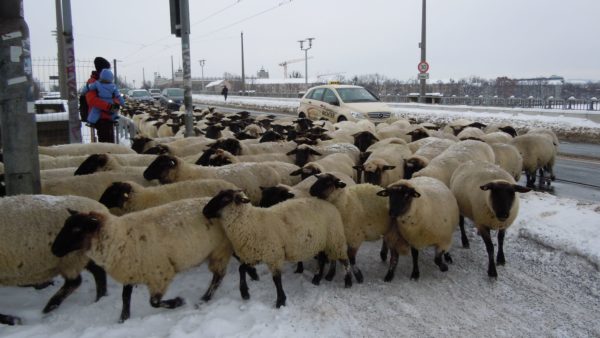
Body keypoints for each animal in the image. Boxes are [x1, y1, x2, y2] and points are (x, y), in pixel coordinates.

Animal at [0, 193, 109, 324]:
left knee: (75, 281)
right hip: (82, 255)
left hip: (71, 258)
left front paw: (11, 319)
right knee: (98, 273)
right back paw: (99, 298)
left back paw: (49, 307)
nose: (53, 249)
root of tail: (101, 208)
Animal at [50, 198, 233, 322]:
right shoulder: (130, 271)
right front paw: (123, 319)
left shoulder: (160, 273)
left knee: (218, 276)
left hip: (219, 250)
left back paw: (205, 298)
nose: (53, 250)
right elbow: (125, 297)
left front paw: (178, 302)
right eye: (66, 224)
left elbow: (154, 302)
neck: (119, 236)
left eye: (76, 229)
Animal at [203, 190, 352, 308]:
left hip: (335, 239)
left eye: (225, 199)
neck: (251, 223)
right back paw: (316, 278)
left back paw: (348, 282)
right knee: (321, 258)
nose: (204, 210)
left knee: (344, 260)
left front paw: (280, 301)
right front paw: (245, 292)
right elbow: (241, 269)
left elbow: (276, 280)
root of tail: (330, 204)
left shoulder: (273, 255)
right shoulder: (254, 254)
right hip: (319, 241)